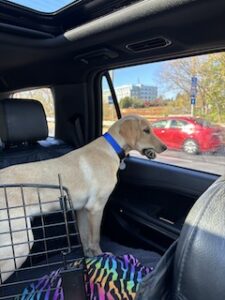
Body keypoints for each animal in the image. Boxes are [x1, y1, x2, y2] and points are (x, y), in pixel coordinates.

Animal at [0, 114, 165, 282]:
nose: (164, 147)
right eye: (146, 130)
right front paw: (101, 257)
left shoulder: (82, 210)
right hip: (20, 243)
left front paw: (89, 259)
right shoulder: (96, 208)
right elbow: (95, 239)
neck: (111, 148)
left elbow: (85, 239)